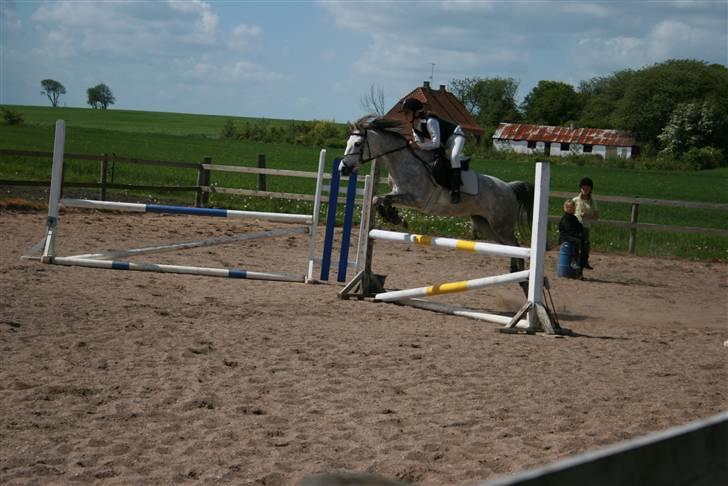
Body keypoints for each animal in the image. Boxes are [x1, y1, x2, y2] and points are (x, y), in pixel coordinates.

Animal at [342, 115, 536, 280]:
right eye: (348, 142)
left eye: (357, 144)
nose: (343, 169)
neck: (404, 164)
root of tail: (509, 187)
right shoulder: (401, 196)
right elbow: (379, 199)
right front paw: (394, 217)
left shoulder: (417, 200)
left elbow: (380, 199)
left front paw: (394, 218)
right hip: (487, 226)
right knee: (508, 247)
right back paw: (516, 274)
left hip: (501, 226)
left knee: (516, 246)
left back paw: (522, 277)